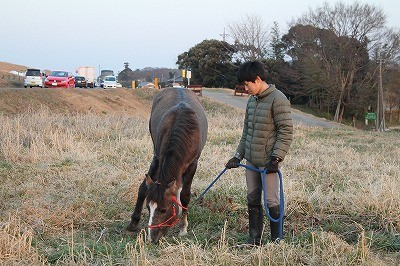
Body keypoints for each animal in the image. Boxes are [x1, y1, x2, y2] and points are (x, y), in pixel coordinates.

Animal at [127, 87, 209, 243]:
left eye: (163, 209)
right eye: (148, 207)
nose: (151, 238)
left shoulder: (193, 165)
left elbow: (185, 196)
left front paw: (183, 227)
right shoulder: (157, 158)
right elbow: (143, 188)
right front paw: (133, 222)